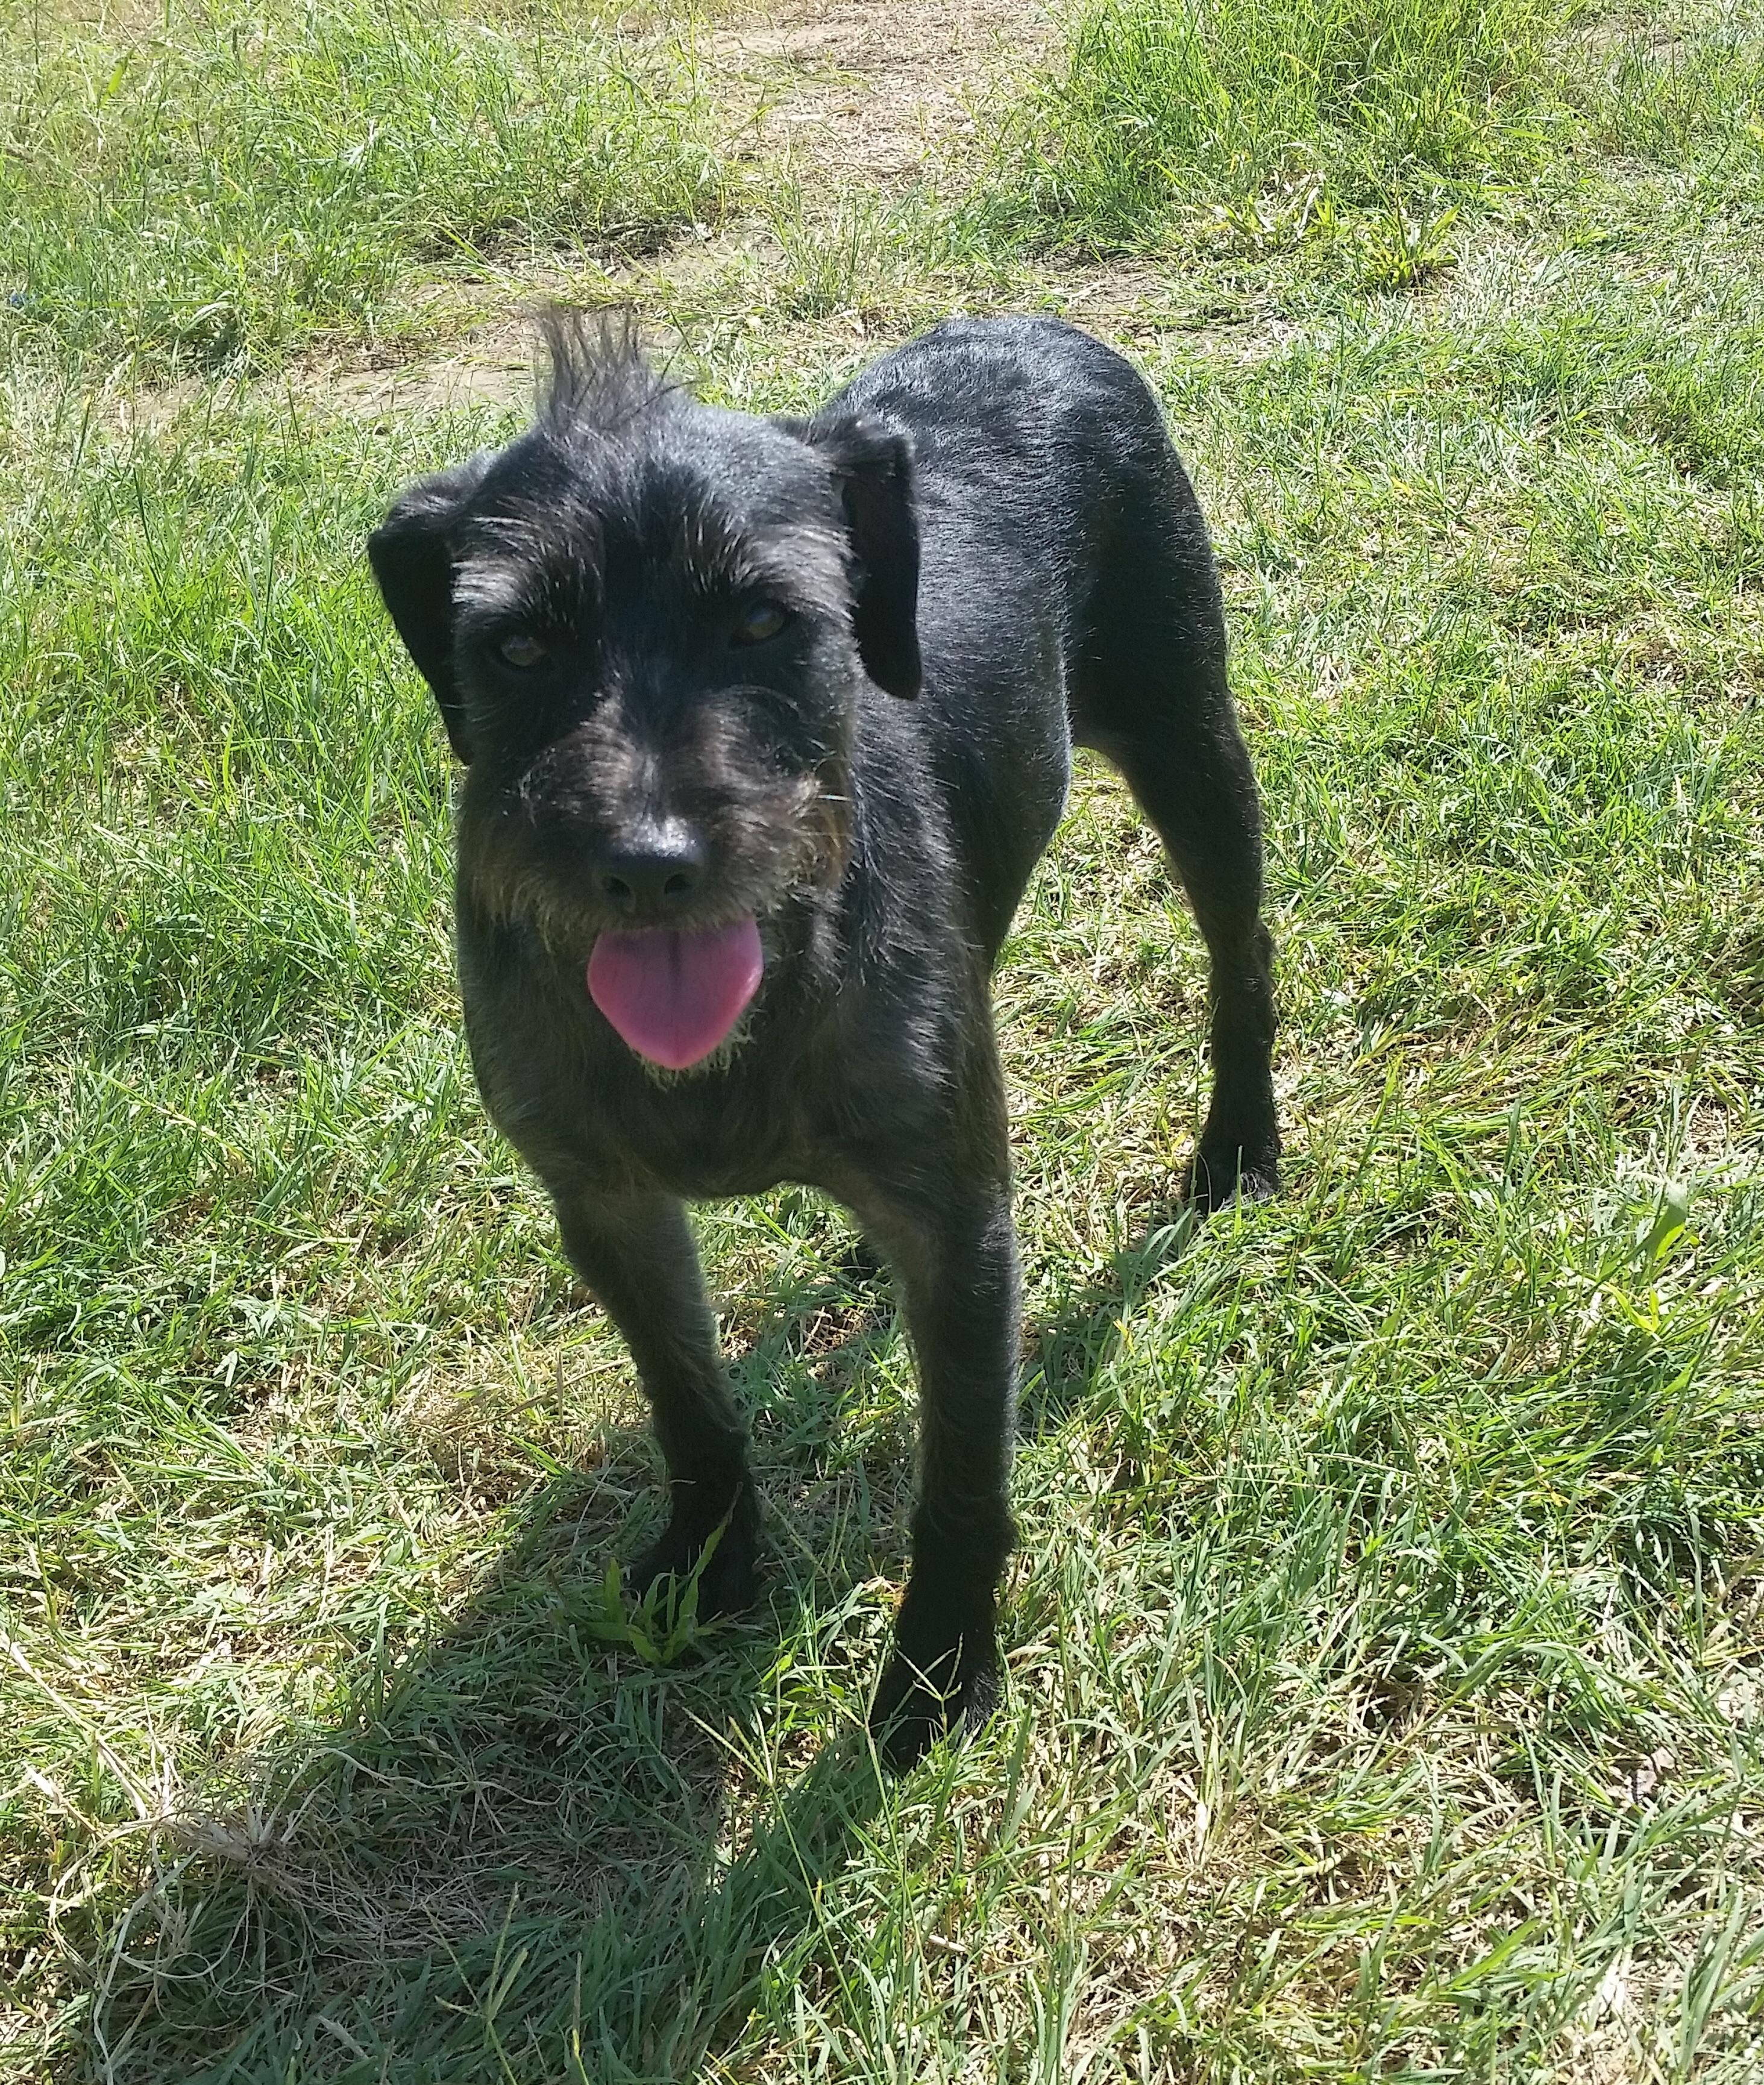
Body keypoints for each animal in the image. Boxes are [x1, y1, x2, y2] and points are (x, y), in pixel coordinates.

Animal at [377, 313, 1284, 1760]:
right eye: (517, 648)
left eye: (763, 619)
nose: (646, 866)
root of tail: (1032, 321)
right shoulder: (607, 1206)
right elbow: (688, 1405)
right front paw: (712, 1562)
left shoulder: (960, 1234)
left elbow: (962, 1469)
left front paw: (936, 1667)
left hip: (1190, 747)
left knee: (1239, 956)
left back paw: (1240, 1143)